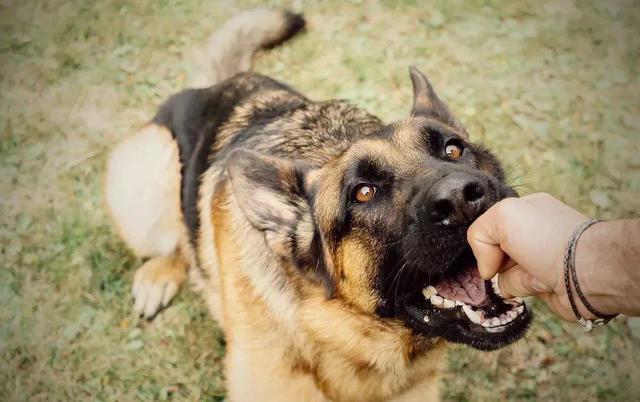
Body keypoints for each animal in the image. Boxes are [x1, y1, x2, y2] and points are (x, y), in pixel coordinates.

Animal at [106, 8, 528, 402]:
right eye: (363, 193)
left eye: (453, 149)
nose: (461, 198)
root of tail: (218, 84)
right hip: (149, 172)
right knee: (176, 239)